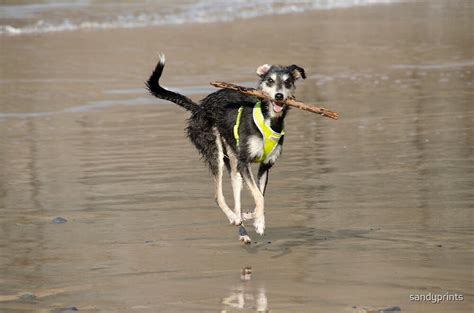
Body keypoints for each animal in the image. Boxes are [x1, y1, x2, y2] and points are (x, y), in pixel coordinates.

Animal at [146, 53, 306, 243]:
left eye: (288, 82)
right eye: (270, 80)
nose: (279, 96)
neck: (268, 119)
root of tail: (199, 108)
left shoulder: (265, 165)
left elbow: (260, 196)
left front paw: (255, 218)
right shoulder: (245, 162)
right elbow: (259, 197)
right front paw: (256, 221)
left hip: (234, 165)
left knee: (236, 195)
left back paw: (241, 226)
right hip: (215, 152)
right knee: (218, 195)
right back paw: (233, 218)